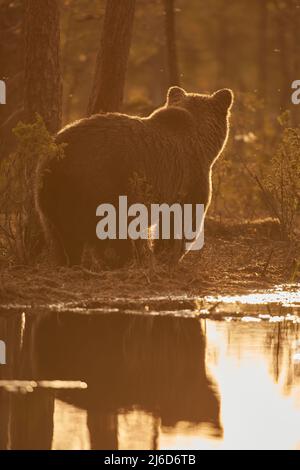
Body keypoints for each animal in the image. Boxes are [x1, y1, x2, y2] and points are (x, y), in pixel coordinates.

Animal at [34, 86, 232, 266]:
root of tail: (58, 160)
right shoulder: (189, 176)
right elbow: (183, 218)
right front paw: (166, 255)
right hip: (105, 183)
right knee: (113, 232)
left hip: (50, 193)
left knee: (60, 236)